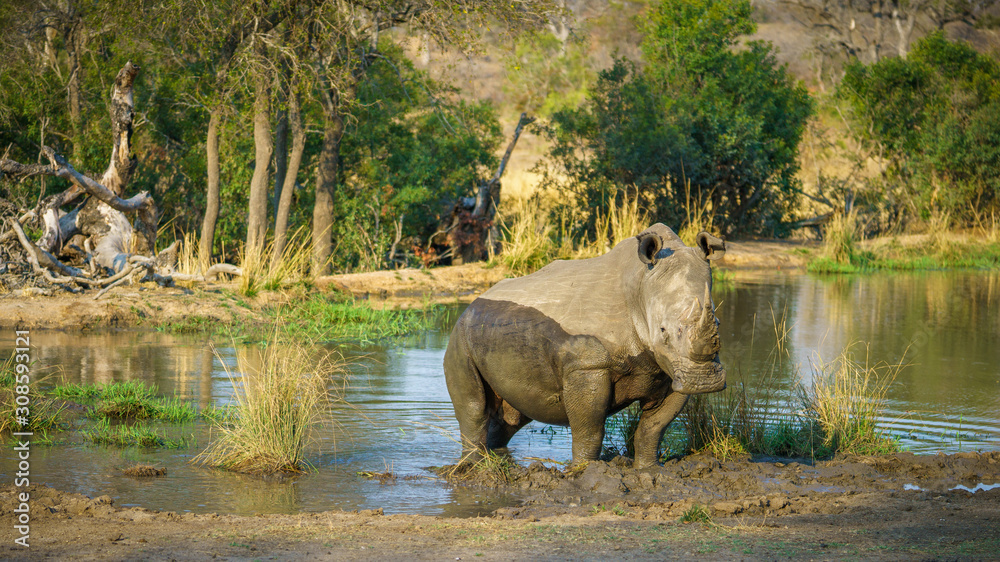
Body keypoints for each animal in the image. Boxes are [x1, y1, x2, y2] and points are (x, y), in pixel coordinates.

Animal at [443, 223, 727, 469]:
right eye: (663, 331)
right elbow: (590, 428)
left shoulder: (673, 369)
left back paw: (493, 459)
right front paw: (585, 470)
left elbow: (653, 427)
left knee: (512, 415)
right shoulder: (587, 366)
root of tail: (472, 303)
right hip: (460, 336)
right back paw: (472, 467)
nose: (704, 382)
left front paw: (648, 470)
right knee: (474, 408)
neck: (640, 287)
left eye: (718, 322)